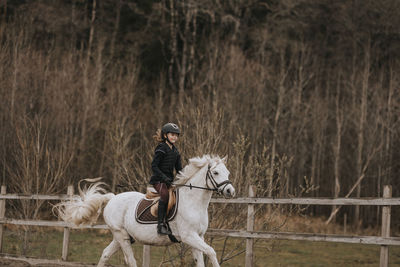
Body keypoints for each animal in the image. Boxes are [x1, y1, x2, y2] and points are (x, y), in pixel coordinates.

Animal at [56, 155, 238, 267]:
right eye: (216, 172)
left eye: (227, 172)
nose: (231, 191)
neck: (193, 202)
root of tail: (113, 198)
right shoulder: (189, 236)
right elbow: (212, 252)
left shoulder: (198, 236)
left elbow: (202, 259)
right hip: (121, 235)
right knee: (131, 261)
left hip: (122, 237)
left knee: (106, 254)